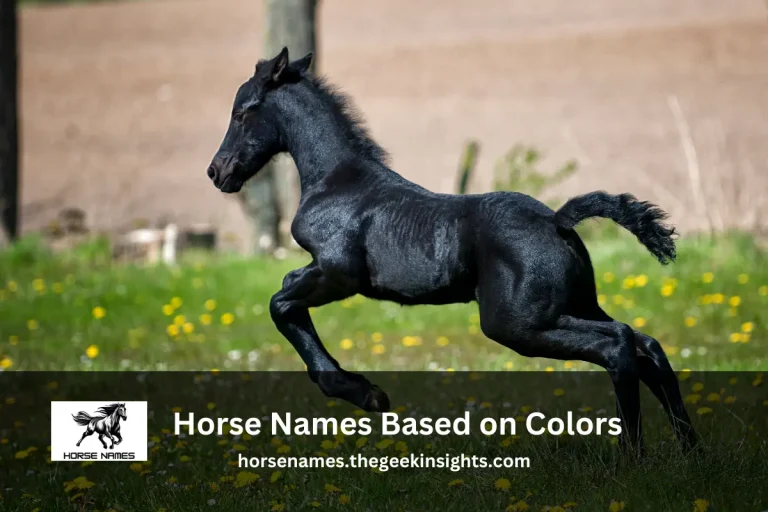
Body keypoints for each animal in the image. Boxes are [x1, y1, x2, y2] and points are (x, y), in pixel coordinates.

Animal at [206, 47, 697, 451]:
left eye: (242, 112)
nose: (217, 172)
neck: (337, 181)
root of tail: (557, 220)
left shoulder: (337, 273)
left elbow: (281, 303)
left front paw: (367, 394)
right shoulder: (323, 273)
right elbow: (286, 298)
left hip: (518, 323)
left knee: (618, 345)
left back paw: (630, 456)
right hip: (573, 305)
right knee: (646, 344)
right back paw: (690, 451)